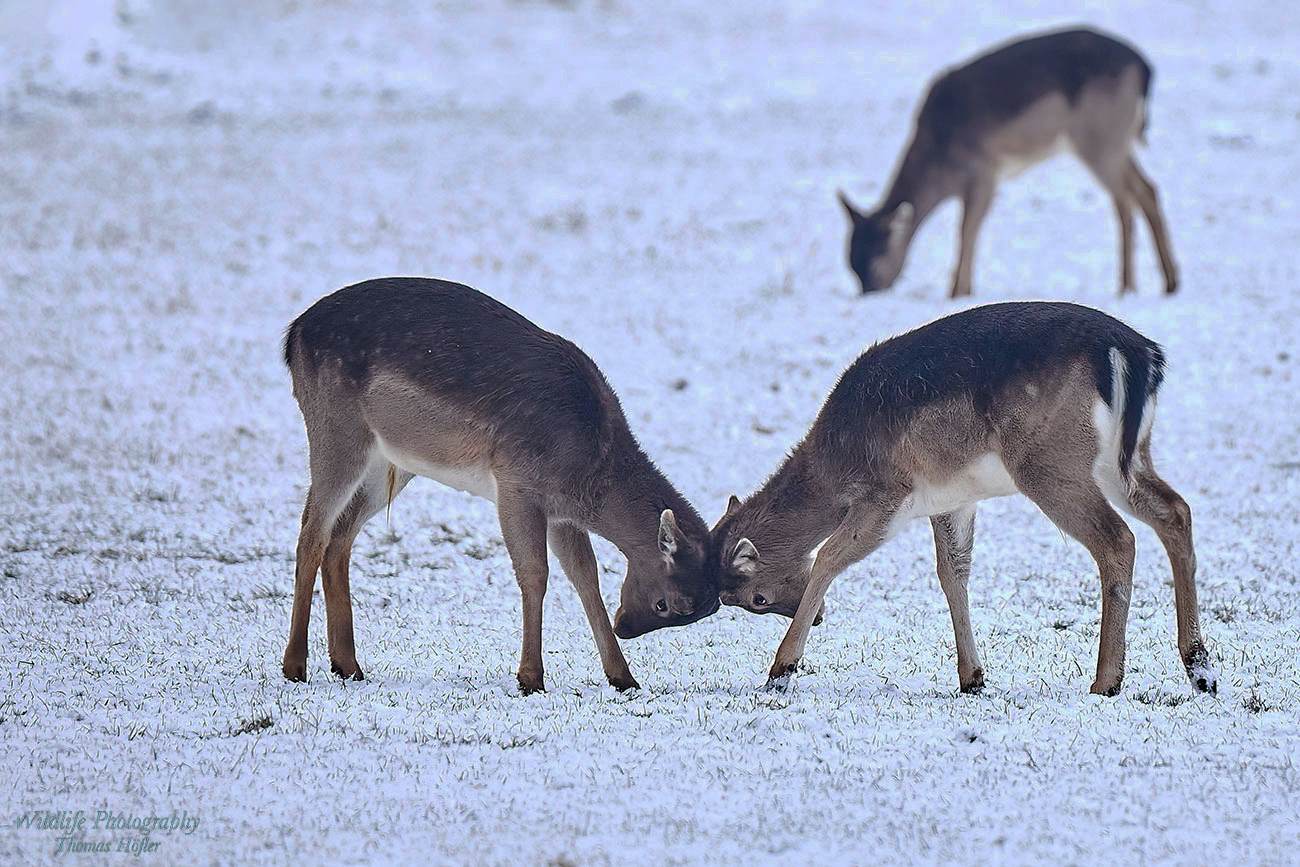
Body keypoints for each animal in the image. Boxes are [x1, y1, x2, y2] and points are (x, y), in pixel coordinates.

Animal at [280, 282, 722, 696]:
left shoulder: (561, 512)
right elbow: (535, 573)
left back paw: (348, 665)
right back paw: (295, 666)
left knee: (339, 538)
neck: (591, 469)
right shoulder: (517, 484)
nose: (625, 626)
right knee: (311, 534)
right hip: (336, 428)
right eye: (666, 604)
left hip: (391, 462)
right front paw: (530, 678)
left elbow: (585, 575)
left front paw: (623, 676)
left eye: (697, 609)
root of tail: (293, 333)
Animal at [707, 301, 1211, 696]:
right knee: (1176, 511)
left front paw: (780, 670)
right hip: (1124, 459)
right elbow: (953, 574)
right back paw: (1199, 667)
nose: (817, 620)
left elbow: (829, 556)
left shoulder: (885, 494)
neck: (833, 466)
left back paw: (1107, 680)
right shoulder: (952, 500)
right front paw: (973, 678)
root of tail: (1139, 354)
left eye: (754, 598)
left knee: (1118, 539)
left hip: (1051, 462)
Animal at [837, 27, 1185, 298]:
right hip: (1117, 141)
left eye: (877, 263)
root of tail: (1144, 68)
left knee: (1125, 197)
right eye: (850, 264)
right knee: (1146, 189)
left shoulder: (983, 172)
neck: (941, 163)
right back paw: (1167, 282)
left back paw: (1130, 285)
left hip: (1099, 138)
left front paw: (958, 291)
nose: (869, 293)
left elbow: (967, 229)